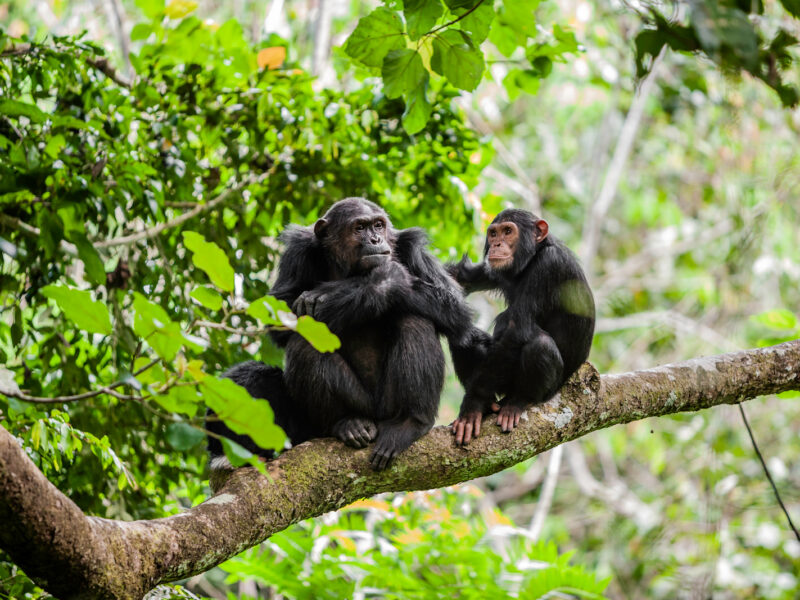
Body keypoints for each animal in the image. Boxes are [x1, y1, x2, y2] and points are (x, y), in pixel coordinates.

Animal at [209, 199, 484, 472]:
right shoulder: (297, 253)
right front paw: (379, 279)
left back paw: (410, 422)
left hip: (388, 405)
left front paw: (361, 285)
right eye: (359, 227)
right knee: (272, 361)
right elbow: (278, 312)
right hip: (337, 415)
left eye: (378, 225)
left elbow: (453, 306)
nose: (375, 239)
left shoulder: (413, 249)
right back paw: (345, 423)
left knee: (415, 319)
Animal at [450, 210, 592, 446]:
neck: (534, 256)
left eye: (508, 231)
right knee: (462, 336)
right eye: (493, 233)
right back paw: (489, 405)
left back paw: (518, 402)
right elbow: (462, 279)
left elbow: (516, 330)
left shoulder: (549, 266)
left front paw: (472, 406)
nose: (497, 243)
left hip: (549, 390)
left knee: (539, 345)